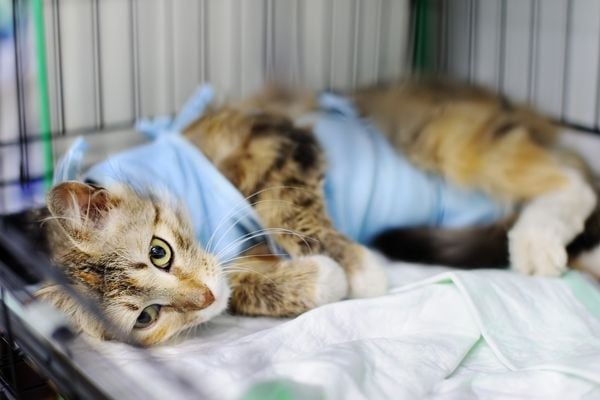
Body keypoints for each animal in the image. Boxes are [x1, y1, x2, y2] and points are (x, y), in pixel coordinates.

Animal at [34, 79, 600, 346]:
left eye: (159, 252)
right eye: (148, 316)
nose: (203, 298)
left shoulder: (273, 139)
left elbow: (287, 204)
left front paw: (363, 270)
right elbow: (243, 288)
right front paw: (321, 280)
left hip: (443, 139)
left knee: (571, 181)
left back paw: (536, 243)